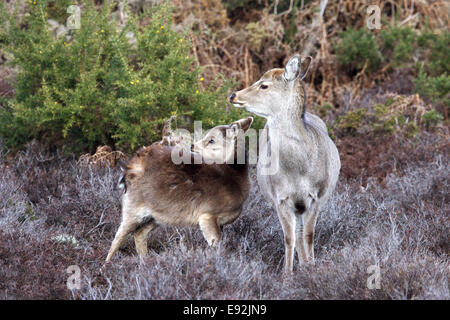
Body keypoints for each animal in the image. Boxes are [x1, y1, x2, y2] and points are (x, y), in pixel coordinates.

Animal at [105, 117, 253, 262]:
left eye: (212, 139)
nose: (192, 145)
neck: (237, 182)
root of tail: (131, 166)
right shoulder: (208, 214)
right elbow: (215, 244)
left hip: (156, 215)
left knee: (139, 233)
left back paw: (145, 261)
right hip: (133, 205)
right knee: (118, 236)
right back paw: (106, 264)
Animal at [230, 53, 340, 274]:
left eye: (264, 85)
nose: (233, 95)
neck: (299, 169)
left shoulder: (316, 196)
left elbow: (309, 235)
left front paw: (311, 267)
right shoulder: (280, 198)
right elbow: (289, 238)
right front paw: (287, 274)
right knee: (296, 233)